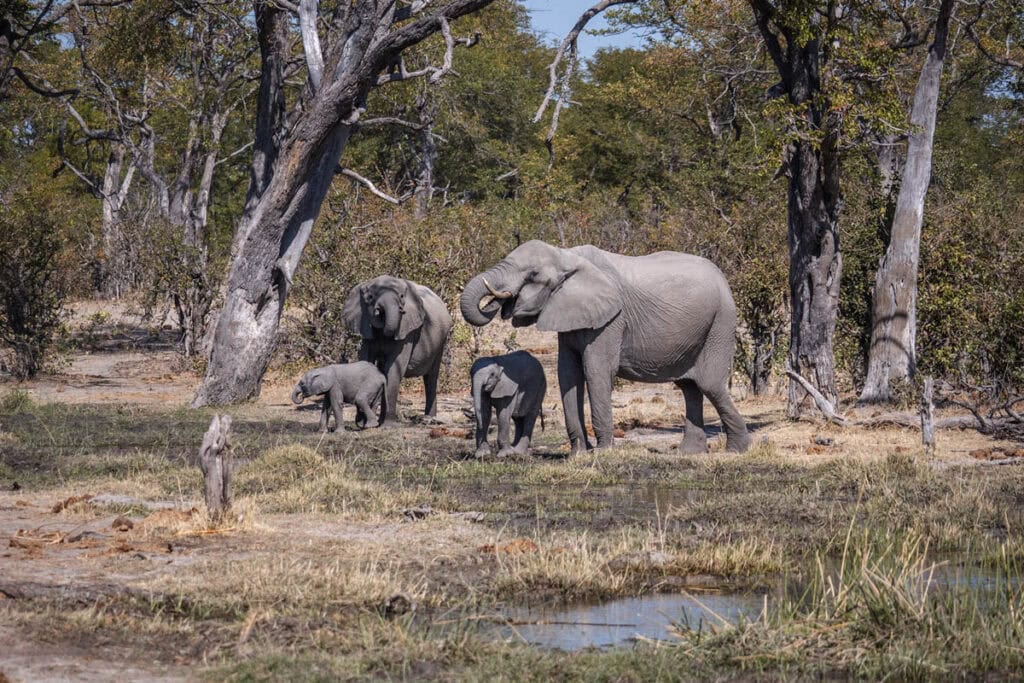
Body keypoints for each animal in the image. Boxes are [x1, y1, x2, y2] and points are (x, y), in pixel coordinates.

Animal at [344, 276, 452, 421]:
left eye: (402, 296)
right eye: (370, 297)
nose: (402, 310)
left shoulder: (407, 330)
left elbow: (394, 368)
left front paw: (387, 423)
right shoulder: (364, 326)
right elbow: (366, 362)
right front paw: (364, 421)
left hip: (441, 341)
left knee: (431, 378)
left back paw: (429, 418)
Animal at [460, 240, 749, 454]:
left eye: (533, 275)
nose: (498, 300)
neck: (567, 256)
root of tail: (722, 276)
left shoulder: (611, 320)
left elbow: (596, 371)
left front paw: (602, 453)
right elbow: (568, 375)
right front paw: (579, 453)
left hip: (721, 321)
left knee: (709, 383)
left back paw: (736, 451)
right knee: (689, 387)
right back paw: (688, 453)